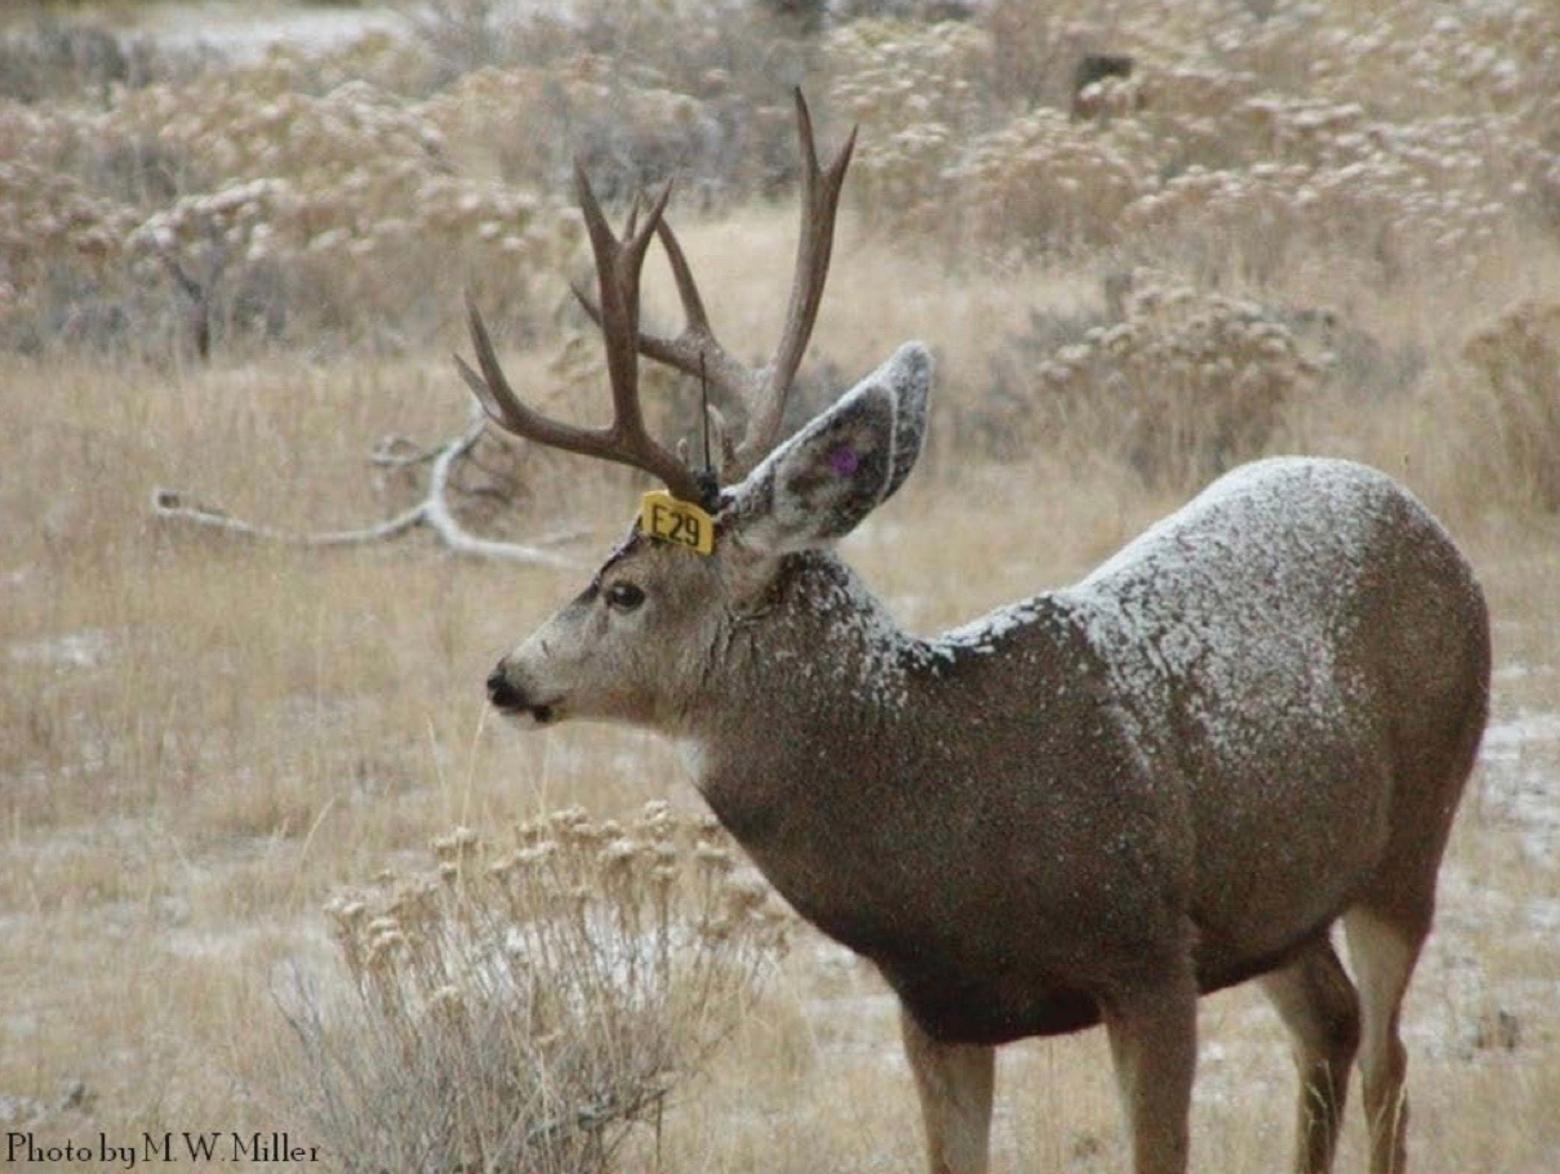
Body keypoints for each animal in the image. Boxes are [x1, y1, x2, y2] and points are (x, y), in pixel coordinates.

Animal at [455, 93, 1491, 1172]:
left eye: (625, 589)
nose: (504, 675)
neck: (949, 827)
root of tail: (1419, 515)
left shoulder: (1151, 957)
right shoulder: (937, 1010)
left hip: (1413, 832)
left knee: (1388, 1059)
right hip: (1278, 900)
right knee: (1330, 1026)